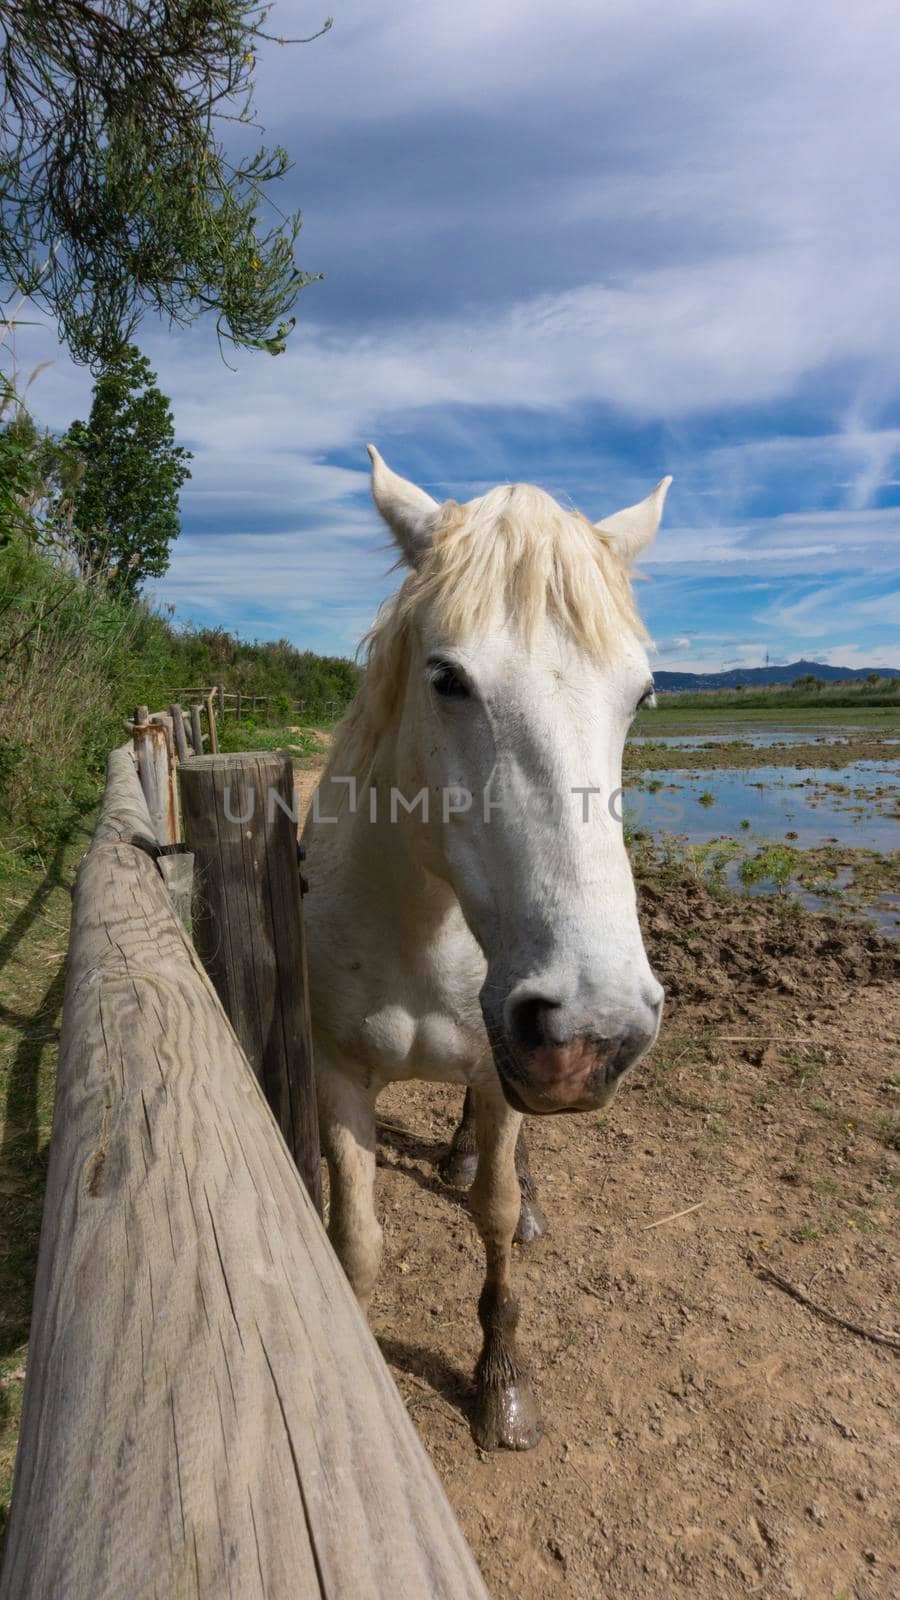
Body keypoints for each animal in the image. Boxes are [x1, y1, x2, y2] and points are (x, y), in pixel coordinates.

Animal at [301, 451, 666, 1452]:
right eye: (447, 679)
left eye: (642, 694)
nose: (593, 1032)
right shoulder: (337, 1072)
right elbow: (356, 1244)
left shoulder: (508, 1071)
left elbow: (495, 1219)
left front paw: (502, 1382)